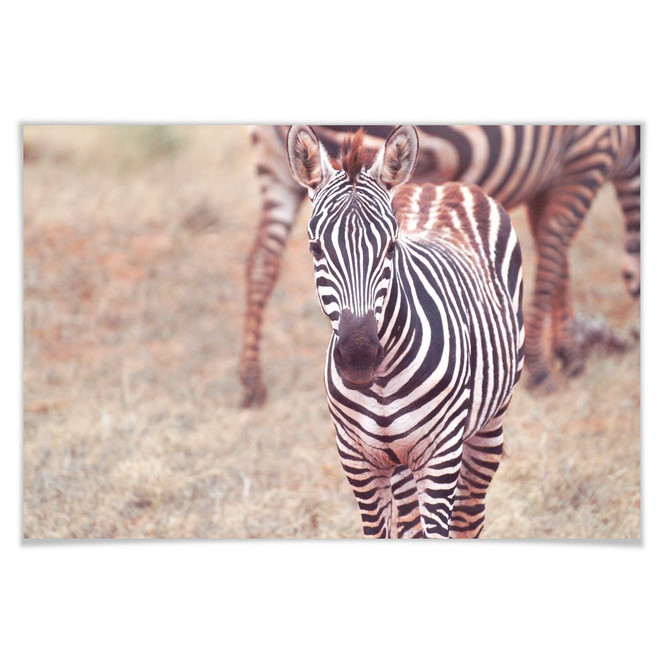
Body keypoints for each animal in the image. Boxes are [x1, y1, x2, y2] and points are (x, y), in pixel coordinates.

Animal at [240, 124, 640, 407]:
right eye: (315, 248)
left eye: (393, 246)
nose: (358, 356)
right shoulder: (587, 156)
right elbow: (555, 253)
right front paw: (546, 368)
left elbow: (556, 255)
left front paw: (568, 352)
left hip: (275, 167)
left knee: (261, 263)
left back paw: (252, 383)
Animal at [286, 125, 524, 538]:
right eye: (316, 249)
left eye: (392, 246)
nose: (359, 355)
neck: (381, 381)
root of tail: (440, 185)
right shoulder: (357, 458)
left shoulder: (440, 454)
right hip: (400, 464)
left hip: (490, 423)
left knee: (469, 517)